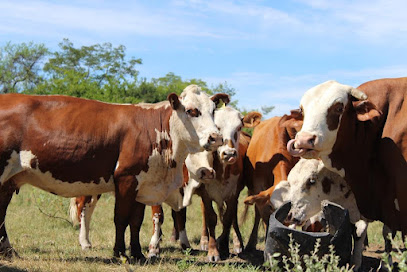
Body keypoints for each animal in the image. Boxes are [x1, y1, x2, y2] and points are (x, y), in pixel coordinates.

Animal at [0, 85, 228, 260]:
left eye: (213, 111)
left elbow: (136, 221)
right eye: (191, 111)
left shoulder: (143, 183)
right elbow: (121, 218)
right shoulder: (126, 179)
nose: (216, 137)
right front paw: (119, 252)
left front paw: (137, 253)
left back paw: (8, 251)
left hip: (8, 181)